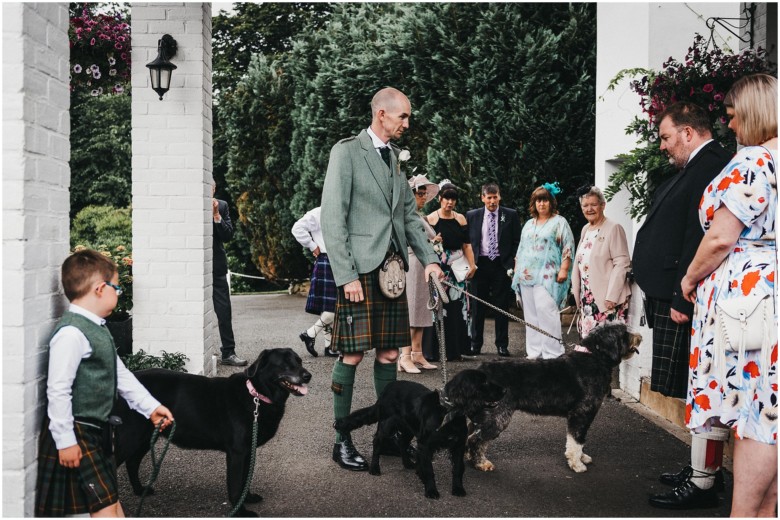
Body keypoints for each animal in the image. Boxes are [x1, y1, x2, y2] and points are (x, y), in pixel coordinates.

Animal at [116, 348, 310, 512]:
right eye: (285, 363)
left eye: (299, 361)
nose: (308, 376)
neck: (256, 395)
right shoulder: (237, 452)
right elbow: (235, 485)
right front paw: (240, 511)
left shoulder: (248, 451)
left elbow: (245, 479)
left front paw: (247, 498)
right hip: (129, 437)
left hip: (145, 437)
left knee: (132, 462)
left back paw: (139, 490)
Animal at [336, 370, 506, 500]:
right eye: (483, 383)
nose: (504, 390)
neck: (448, 412)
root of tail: (387, 388)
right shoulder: (425, 444)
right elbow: (429, 470)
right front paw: (431, 490)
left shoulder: (458, 445)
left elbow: (458, 469)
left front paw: (458, 489)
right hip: (386, 425)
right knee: (377, 442)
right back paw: (374, 468)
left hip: (408, 428)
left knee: (402, 442)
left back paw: (408, 464)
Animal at [466, 324, 644, 476]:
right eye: (624, 333)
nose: (640, 337)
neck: (595, 357)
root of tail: (481, 371)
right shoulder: (581, 414)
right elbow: (576, 440)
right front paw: (577, 463)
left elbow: (580, 440)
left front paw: (582, 457)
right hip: (497, 417)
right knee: (475, 439)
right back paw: (481, 463)